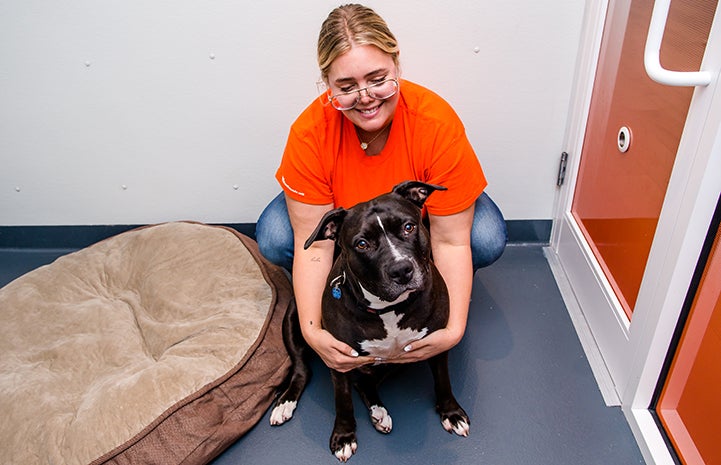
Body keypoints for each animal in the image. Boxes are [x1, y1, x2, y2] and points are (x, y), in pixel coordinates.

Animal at [268, 181, 466, 460]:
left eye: (408, 227)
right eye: (362, 244)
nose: (401, 270)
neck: (389, 309)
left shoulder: (436, 345)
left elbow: (443, 380)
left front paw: (451, 412)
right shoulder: (337, 358)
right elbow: (343, 401)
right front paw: (343, 436)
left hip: (395, 362)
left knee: (365, 383)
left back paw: (378, 411)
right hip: (293, 320)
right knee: (303, 369)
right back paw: (285, 402)